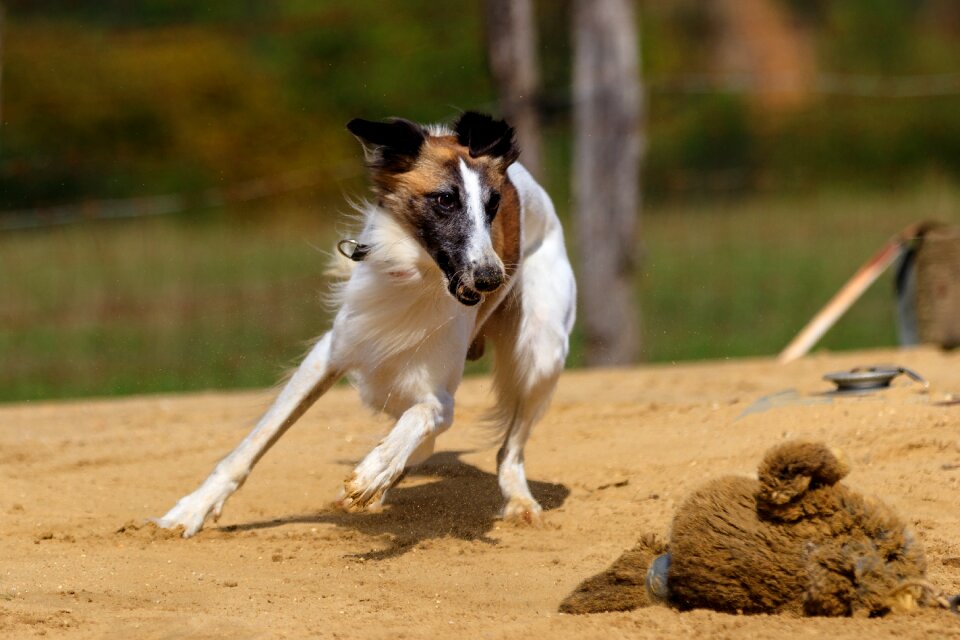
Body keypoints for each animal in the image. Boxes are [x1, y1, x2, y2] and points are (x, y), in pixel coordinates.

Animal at [156, 111, 576, 536]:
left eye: (494, 203)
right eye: (444, 199)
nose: (491, 278)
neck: (416, 275)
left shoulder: (440, 397)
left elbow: (419, 417)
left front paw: (374, 472)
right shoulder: (331, 354)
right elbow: (254, 442)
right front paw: (191, 510)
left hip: (543, 352)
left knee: (509, 449)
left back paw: (518, 500)